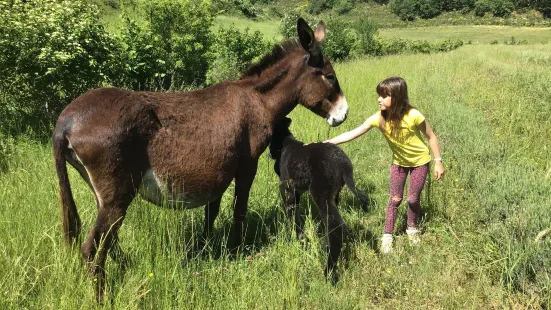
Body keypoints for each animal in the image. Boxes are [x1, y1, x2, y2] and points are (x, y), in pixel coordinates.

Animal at [270, 117, 368, 282]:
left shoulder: (287, 190)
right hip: (334, 195)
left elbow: (291, 215)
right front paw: (301, 239)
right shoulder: (297, 192)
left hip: (321, 194)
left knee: (336, 227)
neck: (285, 143)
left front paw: (296, 238)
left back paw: (329, 272)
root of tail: (344, 164)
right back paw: (325, 247)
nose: (270, 154)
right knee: (330, 224)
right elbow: (297, 216)